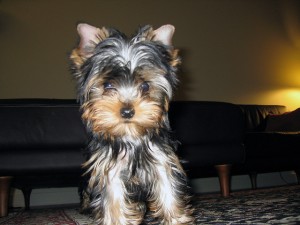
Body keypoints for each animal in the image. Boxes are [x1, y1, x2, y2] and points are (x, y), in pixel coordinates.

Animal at [69, 23, 195, 225]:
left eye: (145, 86)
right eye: (108, 85)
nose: (127, 111)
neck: (131, 136)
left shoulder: (162, 161)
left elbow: (169, 193)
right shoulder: (110, 170)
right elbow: (114, 202)